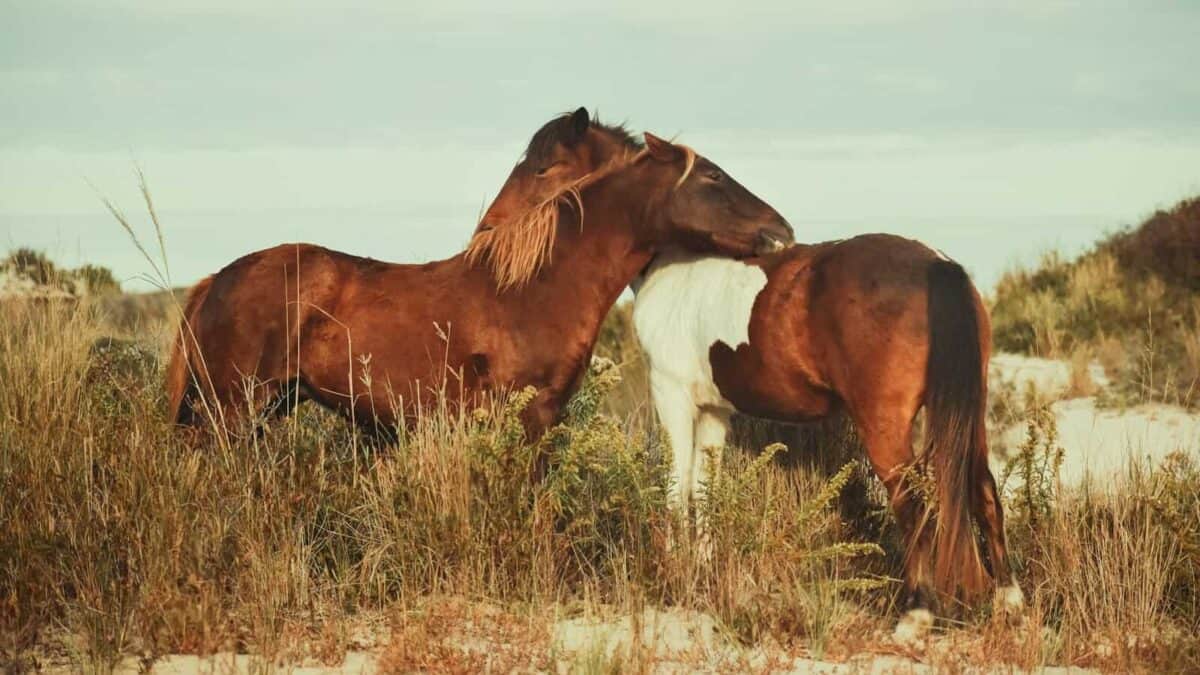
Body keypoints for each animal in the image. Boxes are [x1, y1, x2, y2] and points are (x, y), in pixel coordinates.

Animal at [166, 112, 793, 446]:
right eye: (712, 178)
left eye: (542, 168)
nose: (780, 228)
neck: (537, 286)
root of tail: (215, 280)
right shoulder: (530, 417)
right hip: (230, 412)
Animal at [481, 121, 1022, 642]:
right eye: (712, 175)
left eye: (542, 167)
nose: (489, 225)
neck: (672, 267)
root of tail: (938, 264)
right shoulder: (713, 412)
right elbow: (702, 490)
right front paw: (701, 574)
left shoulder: (671, 396)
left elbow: (675, 487)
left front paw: (673, 574)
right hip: (965, 415)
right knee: (983, 492)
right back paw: (1008, 603)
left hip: (885, 425)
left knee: (913, 504)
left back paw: (916, 616)